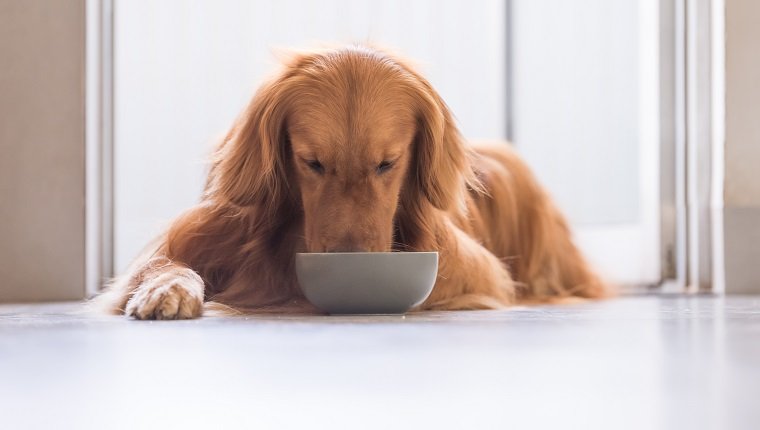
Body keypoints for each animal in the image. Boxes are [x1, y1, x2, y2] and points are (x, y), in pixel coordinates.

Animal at [93, 44, 604, 320]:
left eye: (388, 163)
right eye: (312, 163)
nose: (349, 258)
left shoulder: (476, 267)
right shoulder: (200, 234)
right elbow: (161, 263)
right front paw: (167, 290)